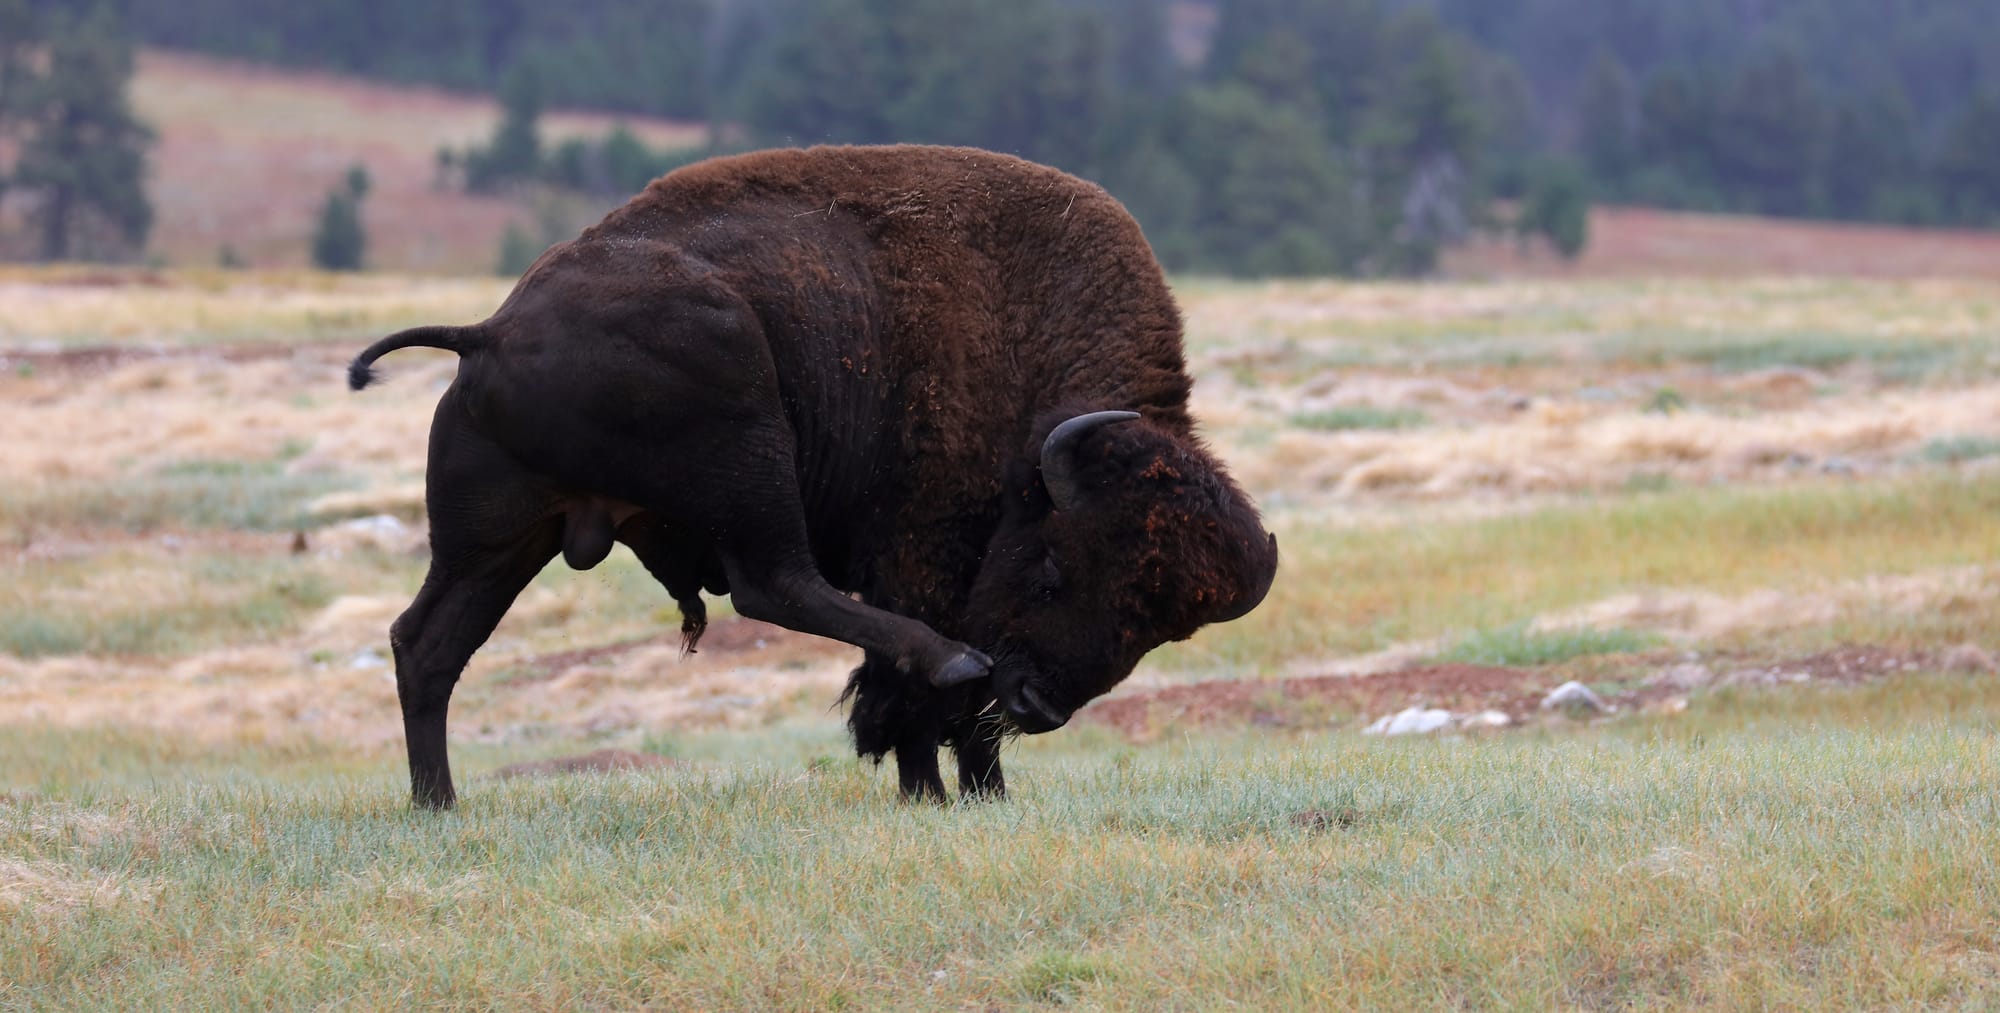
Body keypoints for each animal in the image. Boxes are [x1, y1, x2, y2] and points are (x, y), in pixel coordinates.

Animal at [350, 144, 1272, 808]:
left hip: (497, 538)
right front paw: (934, 790)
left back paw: (438, 805)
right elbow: (914, 697)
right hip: (745, 434)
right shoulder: (921, 552)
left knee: (426, 644)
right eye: (1052, 567)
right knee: (777, 585)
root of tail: (494, 330)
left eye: (1158, 628)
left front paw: (982, 797)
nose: (1038, 705)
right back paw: (950, 660)